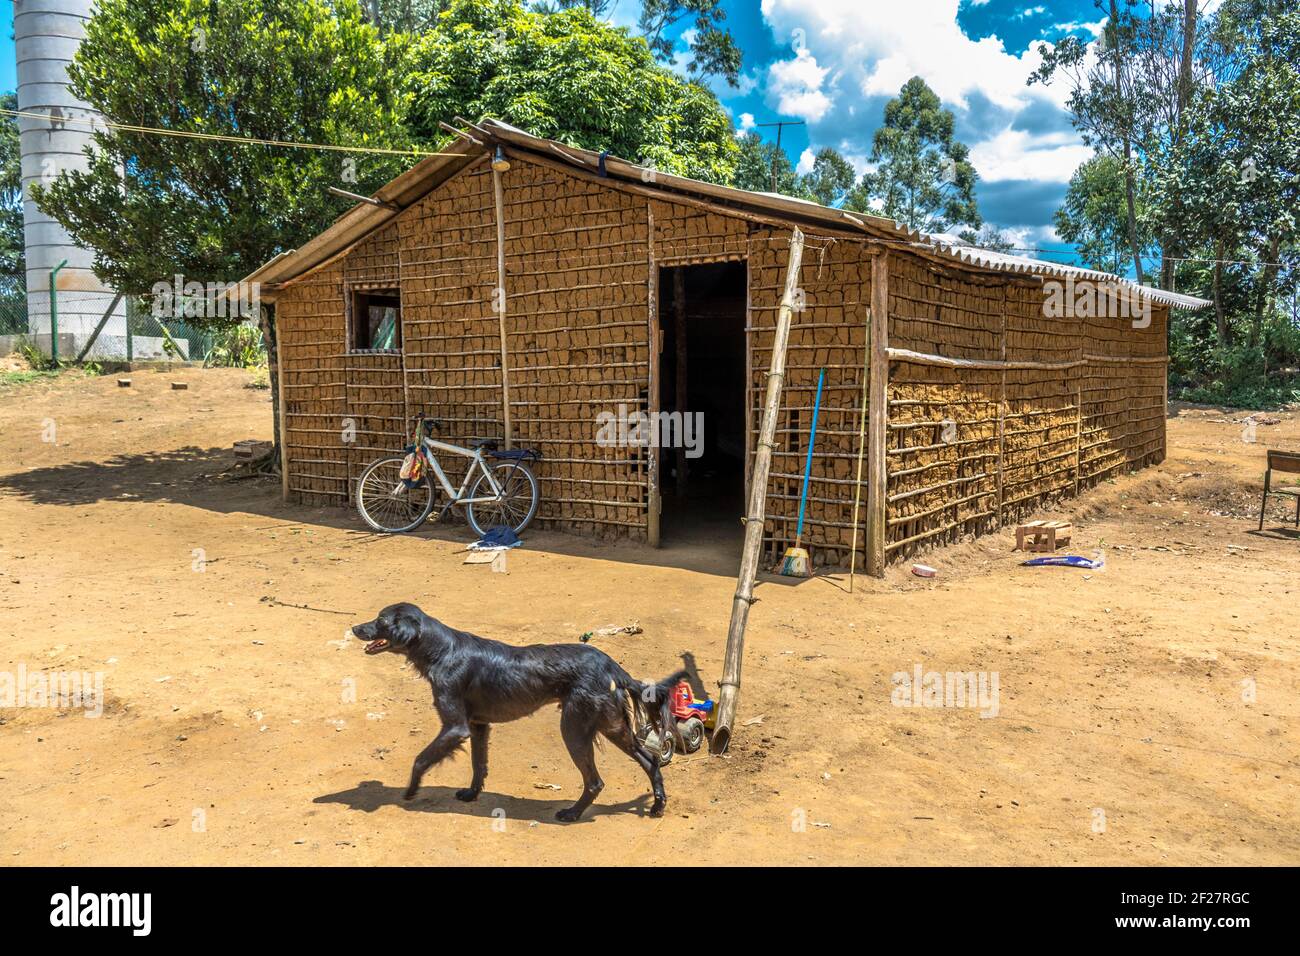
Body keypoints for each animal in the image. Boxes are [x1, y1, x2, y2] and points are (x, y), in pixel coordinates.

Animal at [351, 606, 686, 822]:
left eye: (380, 620)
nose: (354, 628)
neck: (442, 651)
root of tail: (609, 663)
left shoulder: (456, 727)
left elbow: (420, 759)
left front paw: (410, 791)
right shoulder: (478, 725)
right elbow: (478, 765)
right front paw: (472, 794)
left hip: (574, 728)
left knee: (595, 781)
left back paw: (572, 814)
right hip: (612, 725)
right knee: (651, 760)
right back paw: (657, 807)